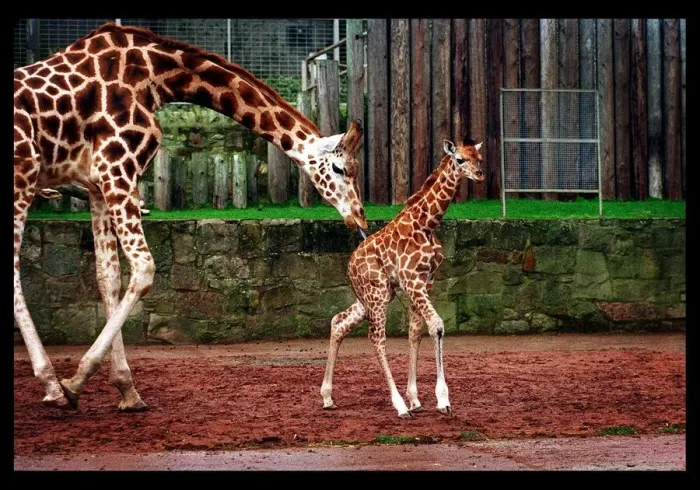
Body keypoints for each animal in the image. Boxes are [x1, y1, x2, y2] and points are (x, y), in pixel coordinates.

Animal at [14, 22, 367, 411]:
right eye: (341, 169)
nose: (361, 219)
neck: (155, 78)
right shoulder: (118, 170)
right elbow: (144, 268)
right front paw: (74, 382)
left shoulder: (97, 184)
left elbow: (108, 278)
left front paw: (126, 389)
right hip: (23, 178)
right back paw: (50, 383)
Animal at [321, 139, 484, 418]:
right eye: (460, 159)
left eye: (479, 158)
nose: (480, 174)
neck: (427, 224)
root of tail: (350, 265)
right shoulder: (412, 281)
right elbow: (437, 325)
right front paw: (442, 400)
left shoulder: (426, 281)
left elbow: (416, 332)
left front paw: (416, 398)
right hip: (376, 293)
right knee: (376, 338)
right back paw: (398, 405)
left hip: (377, 294)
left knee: (339, 322)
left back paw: (328, 396)